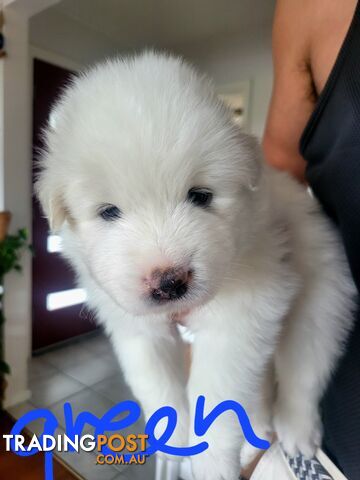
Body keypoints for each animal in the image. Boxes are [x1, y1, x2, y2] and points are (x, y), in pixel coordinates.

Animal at [35, 52, 354, 480]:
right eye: (108, 212)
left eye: (200, 195)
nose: (170, 283)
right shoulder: (136, 329)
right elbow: (159, 388)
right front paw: (174, 449)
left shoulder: (243, 316)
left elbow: (217, 398)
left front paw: (210, 464)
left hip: (322, 298)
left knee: (302, 371)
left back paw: (295, 431)